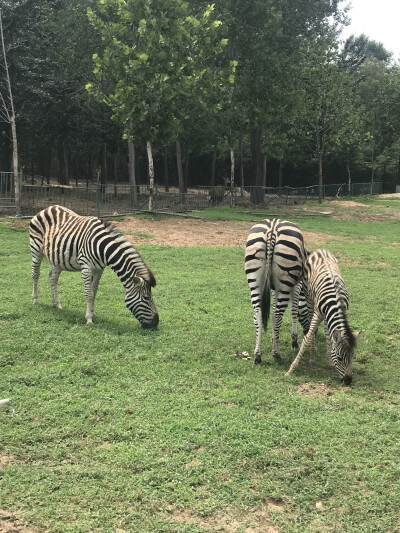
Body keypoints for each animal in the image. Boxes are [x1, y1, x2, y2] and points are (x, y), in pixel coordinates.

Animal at [29, 205, 159, 326]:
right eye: (147, 298)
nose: (156, 323)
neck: (103, 248)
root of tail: (48, 208)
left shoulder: (99, 269)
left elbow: (94, 291)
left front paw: (92, 313)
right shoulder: (86, 267)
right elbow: (89, 293)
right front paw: (89, 319)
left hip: (58, 258)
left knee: (53, 277)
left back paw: (57, 304)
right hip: (36, 249)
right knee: (35, 274)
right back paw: (35, 300)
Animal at [244, 218, 310, 364]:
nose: (309, 332)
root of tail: (272, 229)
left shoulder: (273, 287)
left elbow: (273, 306)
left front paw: (274, 337)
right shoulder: (297, 285)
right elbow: (293, 310)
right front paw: (294, 341)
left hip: (255, 280)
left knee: (258, 314)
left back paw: (258, 355)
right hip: (285, 282)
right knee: (276, 316)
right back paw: (276, 354)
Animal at [284, 249, 362, 382]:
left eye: (352, 357)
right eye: (340, 359)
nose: (348, 381)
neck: (337, 302)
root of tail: (320, 250)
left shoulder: (330, 315)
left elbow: (329, 336)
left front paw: (330, 360)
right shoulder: (318, 314)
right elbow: (307, 338)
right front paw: (291, 369)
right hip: (309, 298)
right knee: (310, 321)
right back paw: (312, 357)